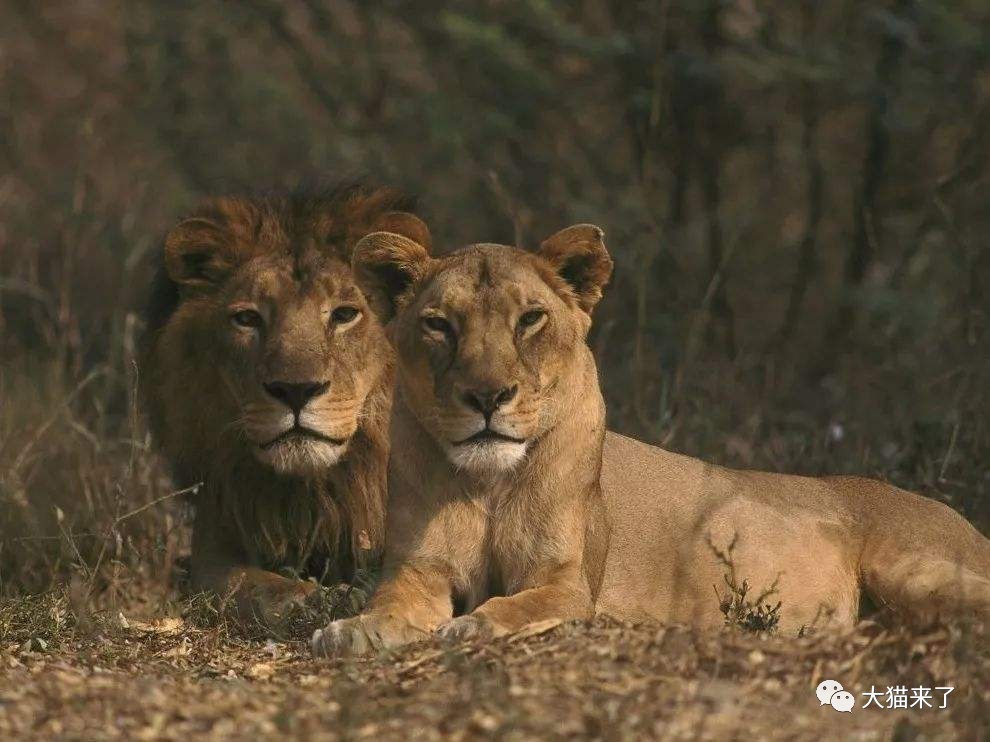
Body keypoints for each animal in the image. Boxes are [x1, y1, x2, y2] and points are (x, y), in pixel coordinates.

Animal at [142, 186, 430, 620]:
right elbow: (251, 585)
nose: (296, 390)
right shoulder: (213, 548)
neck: (319, 491)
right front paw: (320, 598)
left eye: (345, 314)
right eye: (247, 319)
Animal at [312, 224, 990, 652]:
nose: (487, 398)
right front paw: (355, 629)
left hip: (912, 569)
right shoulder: (418, 569)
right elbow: (391, 602)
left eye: (530, 320)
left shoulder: (567, 581)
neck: (486, 482)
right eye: (439, 325)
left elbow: (518, 605)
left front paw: (475, 626)